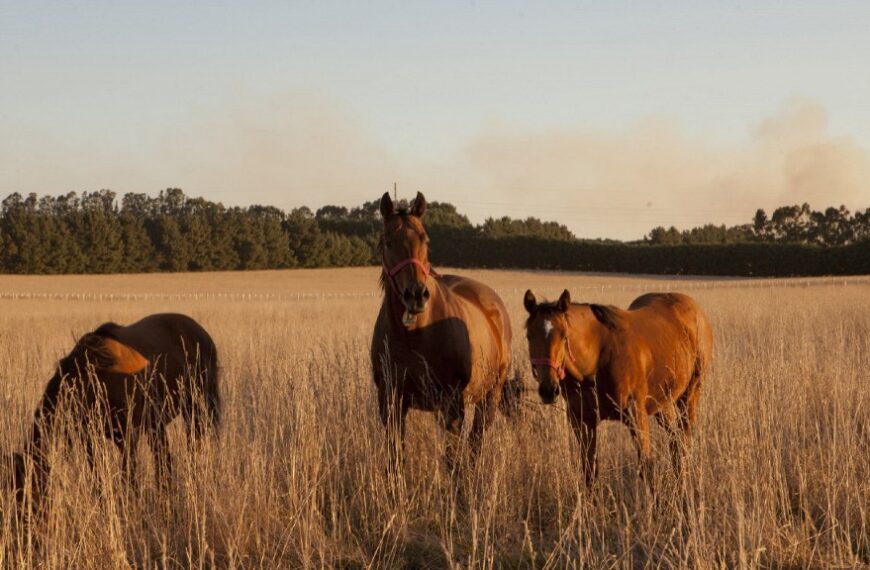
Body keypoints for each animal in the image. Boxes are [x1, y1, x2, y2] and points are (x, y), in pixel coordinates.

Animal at [7, 310, 221, 506]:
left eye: (26, 491)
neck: (90, 382)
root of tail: (204, 334)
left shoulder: (127, 437)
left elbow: (128, 478)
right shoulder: (90, 440)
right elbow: (98, 478)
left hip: (199, 408)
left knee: (198, 444)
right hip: (157, 423)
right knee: (163, 459)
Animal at [372, 191, 516, 474]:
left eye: (425, 239)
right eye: (388, 242)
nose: (416, 295)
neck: (414, 335)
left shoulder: (453, 404)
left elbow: (453, 461)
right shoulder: (390, 402)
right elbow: (395, 459)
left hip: (489, 397)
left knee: (476, 442)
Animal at [524, 288, 716, 488]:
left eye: (563, 336)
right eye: (529, 336)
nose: (548, 390)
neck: (597, 359)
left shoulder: (636, 415)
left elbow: (647, 467)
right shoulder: (582, 420)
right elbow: (590, 472)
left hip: (690, 394)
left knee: (683, 442)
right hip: (663, 403)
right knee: (675, 439)